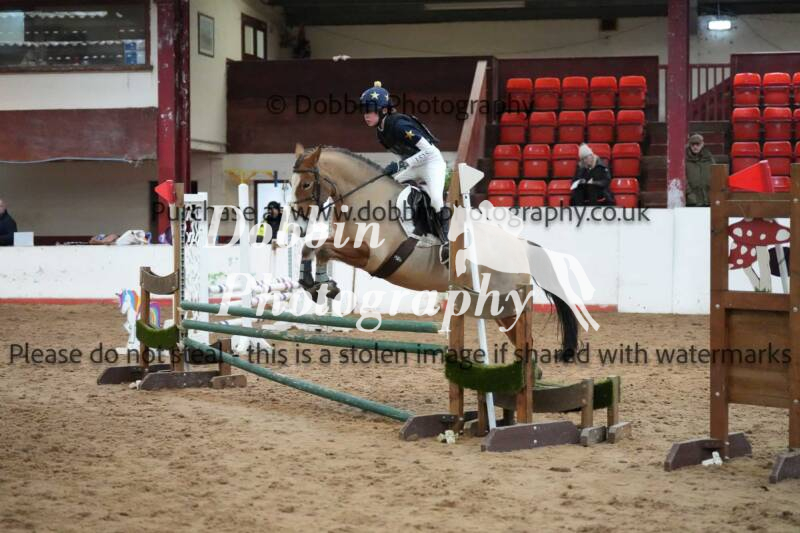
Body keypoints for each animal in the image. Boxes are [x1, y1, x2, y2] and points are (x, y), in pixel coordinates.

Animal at [288, 145, 579, 359]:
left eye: (305, 184)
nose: (298, 221)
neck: (366, 199)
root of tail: (522, 248)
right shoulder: (345, 243)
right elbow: (313, 247)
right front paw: (316, 284)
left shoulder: (369, 256)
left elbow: (323, 249)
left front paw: (321, 285)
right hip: (496, 307)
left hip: (507, 306)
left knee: (525, 341)